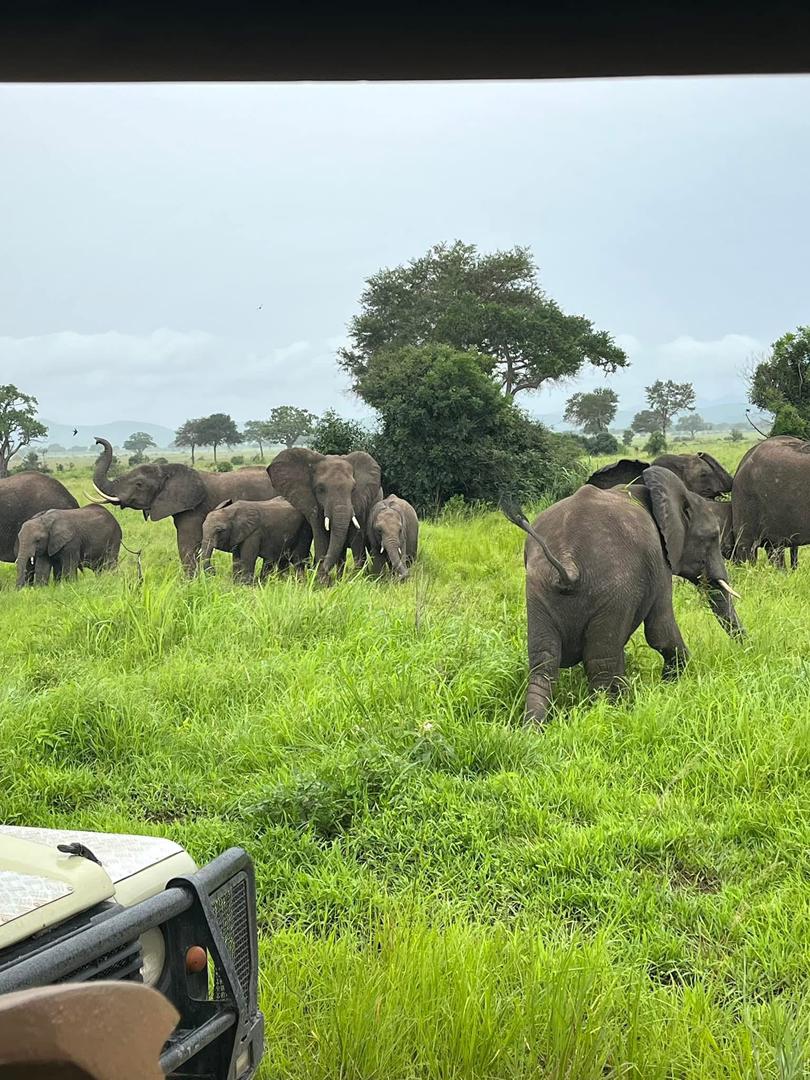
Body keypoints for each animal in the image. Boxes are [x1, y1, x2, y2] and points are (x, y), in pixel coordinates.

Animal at [268, 448, 382, 583]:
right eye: (321, 489)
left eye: (353, 489)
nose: (314, 570)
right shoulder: (311, 501)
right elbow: (320, 535)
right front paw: (322, 582)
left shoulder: (360, 502)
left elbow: (356, 537)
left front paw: (356, 580)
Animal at [501, 465, 743, 725]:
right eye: (712, 538)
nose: (746, 650)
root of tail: (567, 560)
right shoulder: (659, 563)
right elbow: (660, 632)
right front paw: (671, 686)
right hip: (611, 588)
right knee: (600, 663)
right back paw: (606, 718)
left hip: (538, 591)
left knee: (544, 664)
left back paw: (533, 729)